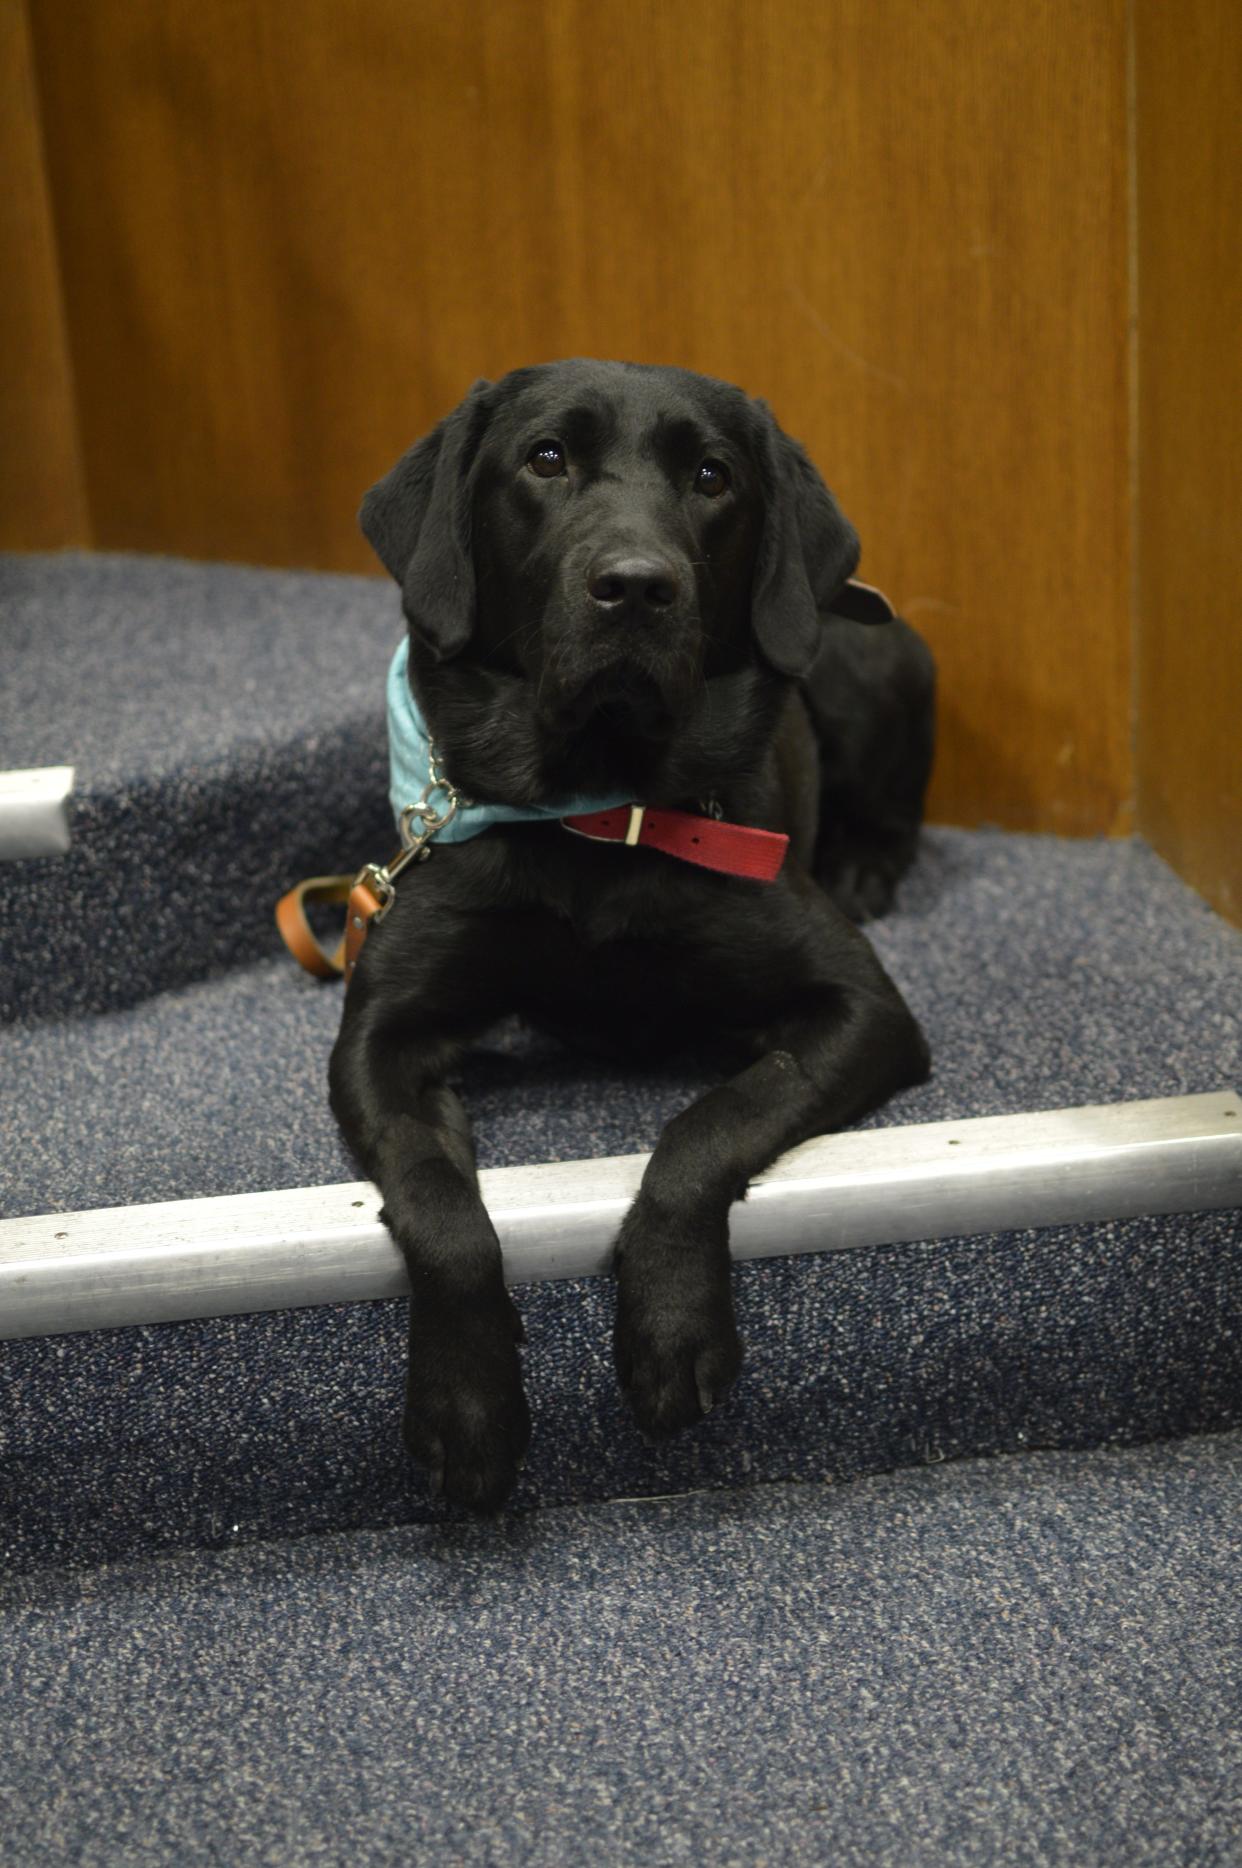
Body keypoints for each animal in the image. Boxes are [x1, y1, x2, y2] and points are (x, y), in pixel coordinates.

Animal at [328, 356, 930, 1509]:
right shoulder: (381, 1037)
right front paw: (466, 1403)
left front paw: (671, 1327)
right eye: (546, 458)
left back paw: (870, 865)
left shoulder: (863, 1008)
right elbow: (433, 1193)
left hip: (874, 657)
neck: (602, 811)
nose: (639, 586)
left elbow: (709, 1123)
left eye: (712, 476)